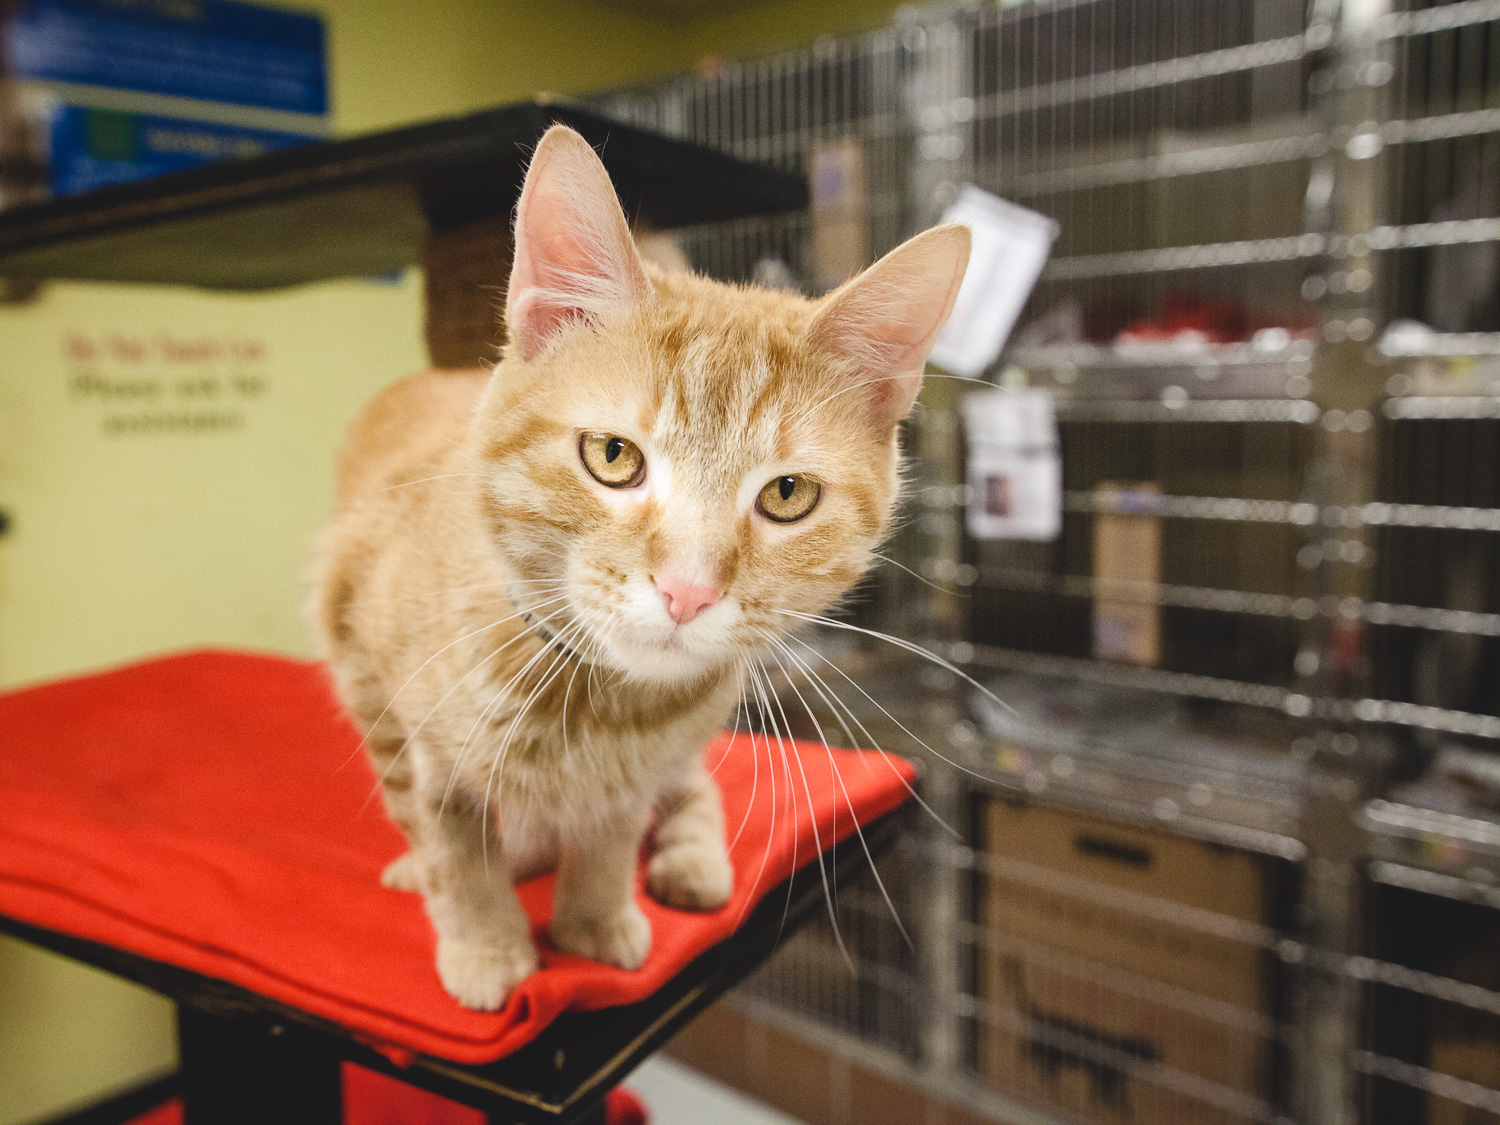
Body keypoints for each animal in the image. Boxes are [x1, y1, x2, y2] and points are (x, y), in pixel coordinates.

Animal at [310, 125, 972, 1014]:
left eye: (787, 495)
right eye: (614, 456)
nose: (687, 591)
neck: (598, 708)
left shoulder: (644, 763)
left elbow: (612, 827)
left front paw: (590, 917)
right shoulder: (362, 647)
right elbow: (445, 829)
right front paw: (483, 937)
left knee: (692, 786)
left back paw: (687, 859)